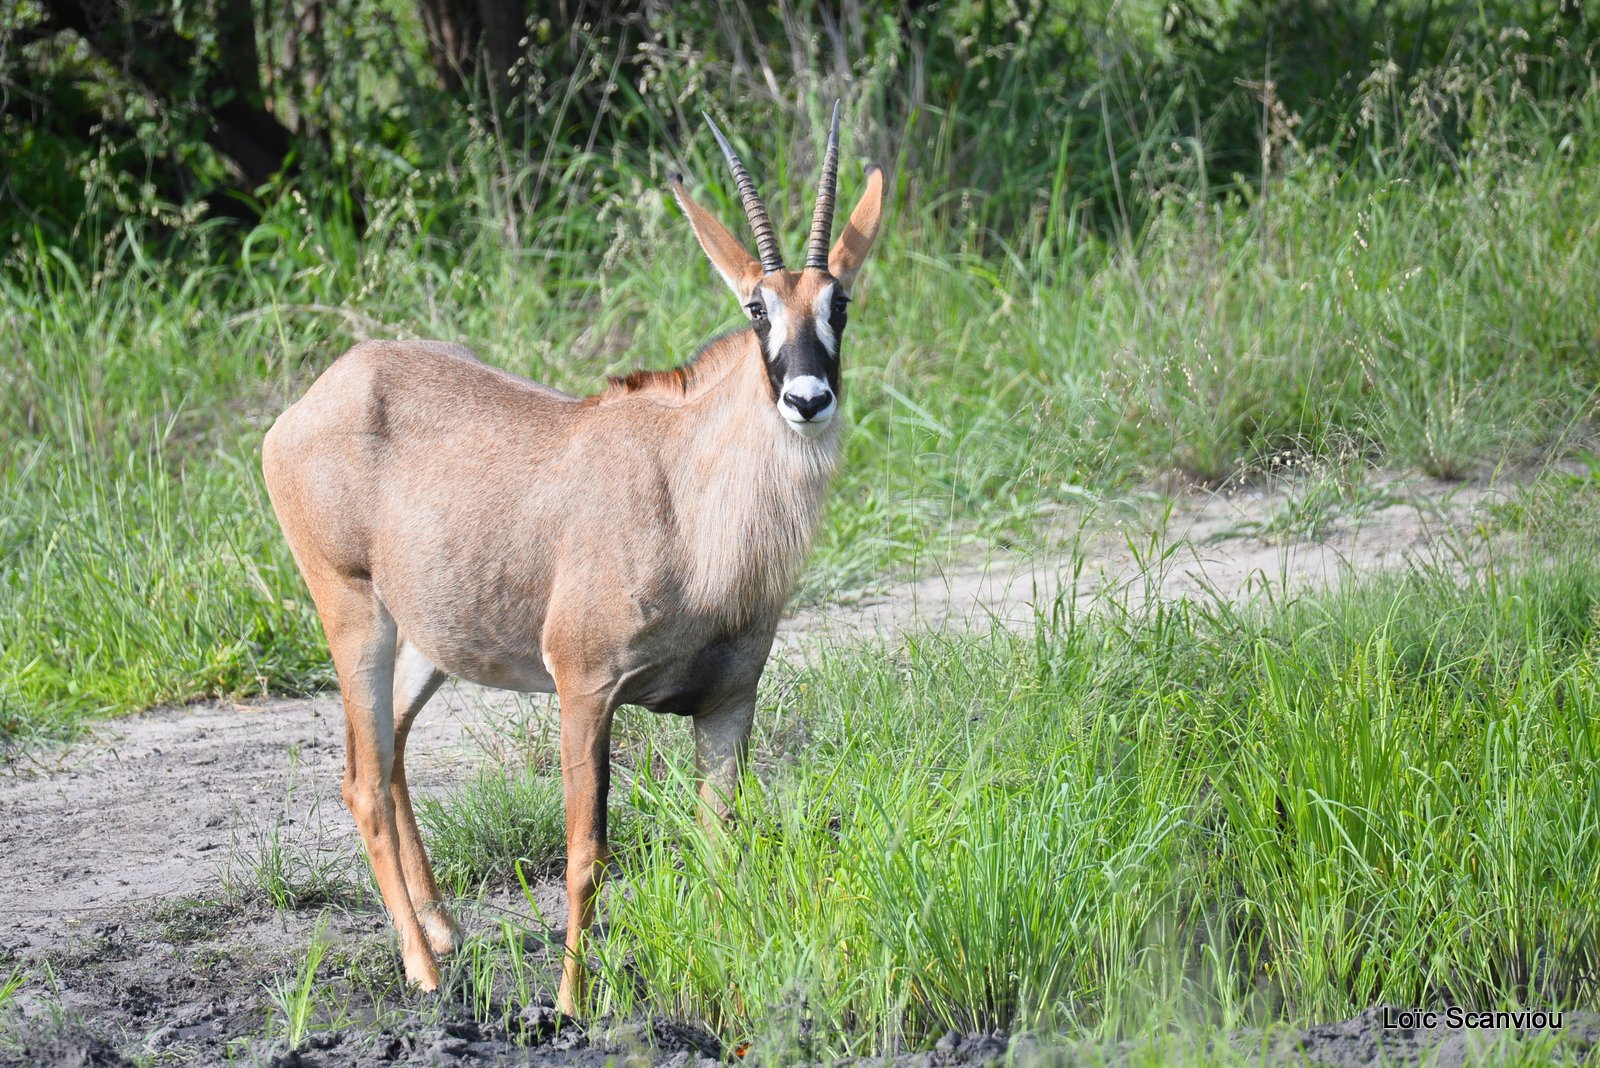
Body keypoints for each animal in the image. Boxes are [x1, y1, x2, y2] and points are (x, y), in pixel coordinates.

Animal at [262, 108, 889, 1016]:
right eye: (756, 306)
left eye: (840, 301)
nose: (807, 399)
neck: (686, 495)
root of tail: (316, 397)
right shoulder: (585, 688)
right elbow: (588, 853)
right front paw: (568, 1005)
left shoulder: (728, 700)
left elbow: (722, 845)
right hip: (353, 616)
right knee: (365, 782)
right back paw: (424, 970)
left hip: (427, 643)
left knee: (387, 752)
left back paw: (444, 930)